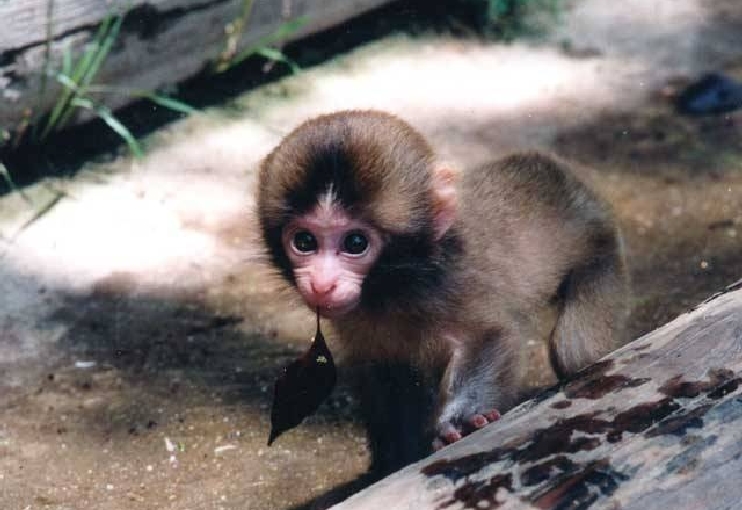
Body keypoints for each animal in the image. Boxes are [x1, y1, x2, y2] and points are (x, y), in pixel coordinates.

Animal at [258, 111, 632, 474]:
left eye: (355, 243)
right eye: (304, 241)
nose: (322, 284)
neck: (393, 287)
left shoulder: (455, 282)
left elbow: (491, 336)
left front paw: (462, 421)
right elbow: (386, 373)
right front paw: (391, 460)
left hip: (602, 247)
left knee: (574, 350)